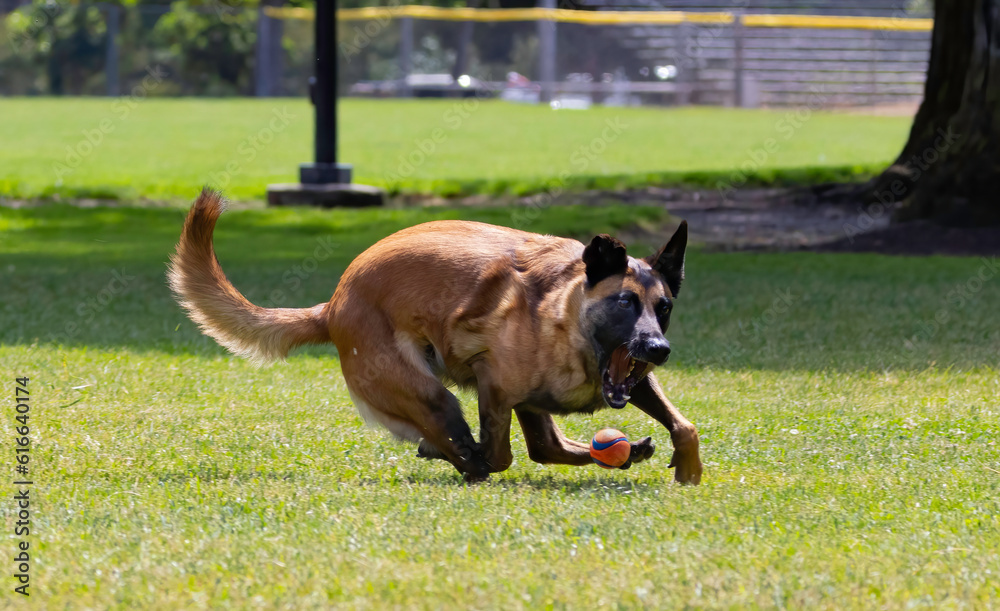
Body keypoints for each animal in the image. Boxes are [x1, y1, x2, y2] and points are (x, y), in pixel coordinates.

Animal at [168, 190, 702, 484]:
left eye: (664, 308)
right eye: (625, 303)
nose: (658, 349)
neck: (563, 317)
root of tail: (333, 305)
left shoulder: (627, 380)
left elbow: (683, 425)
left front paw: (687, 466)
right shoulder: (494, 385)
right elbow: (501, 451)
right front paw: (475, 454)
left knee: (545, 447)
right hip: (426, 391)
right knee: (475, 441)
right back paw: (457, 455)